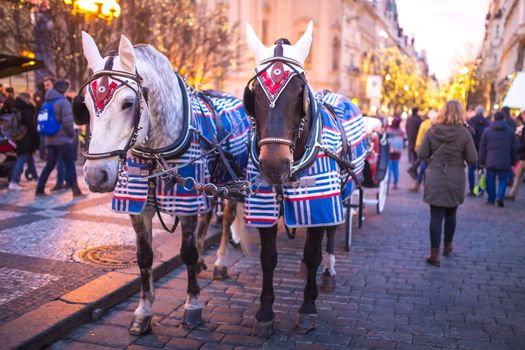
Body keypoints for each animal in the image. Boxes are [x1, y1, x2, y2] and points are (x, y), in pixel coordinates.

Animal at [80, 33, 248, 336]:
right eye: (85, 104)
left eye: (128, 103)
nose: (96, 175)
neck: (155, 153)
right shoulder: (139, 207)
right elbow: (144, 257)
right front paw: (143, 313)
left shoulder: (186, 201)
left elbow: (188, 253)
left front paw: (192, 305)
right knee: (208, 215)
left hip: (228, 184)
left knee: (226, 217)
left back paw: (219, 263)